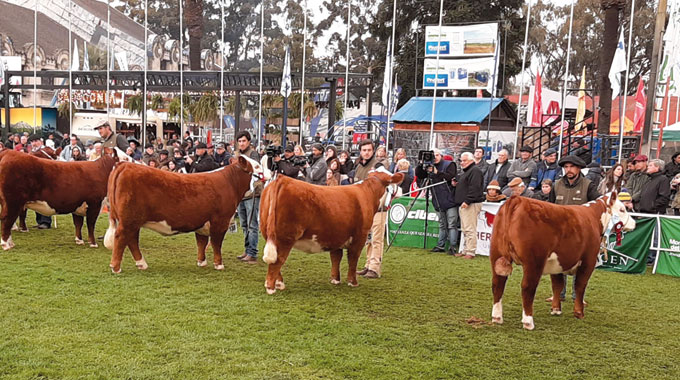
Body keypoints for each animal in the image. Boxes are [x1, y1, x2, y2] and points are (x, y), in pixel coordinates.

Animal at [105, 155, 264, 274]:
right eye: (256, 166)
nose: (267, 173)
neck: (230, 182)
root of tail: (123, 164)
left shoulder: (202, 222)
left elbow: (202, 242)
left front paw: (202, 262)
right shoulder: (220, 221)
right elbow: (216, 244)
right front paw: (219, 265)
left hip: (133, 221)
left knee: (131, 240)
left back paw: (141, 264)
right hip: (129, 220)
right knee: (121, 237)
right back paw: (116, 267)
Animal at [258, 168, 402, 296]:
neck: (367, 193)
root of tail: (282, 179)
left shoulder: (336, 236)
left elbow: (336, 257)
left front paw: (335, 280)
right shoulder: (359, 237)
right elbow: (353, 259)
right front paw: (352, 282)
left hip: (269, 234)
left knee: (274, 259)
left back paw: (279, 283)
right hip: (285, 238)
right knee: (278, 260)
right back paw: (271, 287)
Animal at [492, 193, 636, 330]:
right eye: (622, 209)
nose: (634, 223)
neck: (594, 218)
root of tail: (518, 200)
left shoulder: (557, 264)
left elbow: (558, 285)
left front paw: (556, 309)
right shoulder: (588, 261)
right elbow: (580, 286)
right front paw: (579, 313)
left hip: (496, 255)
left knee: (497, 284)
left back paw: (497, 317)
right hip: (534, 262)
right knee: (527, 287)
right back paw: (528, 322)